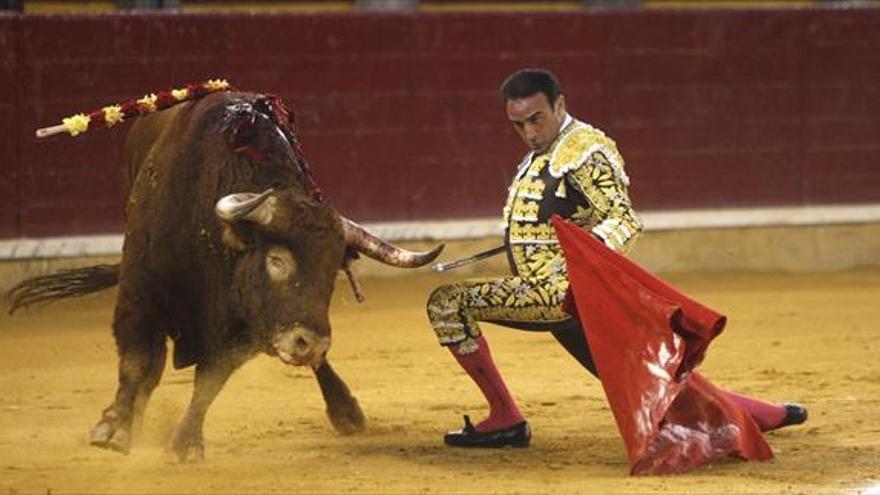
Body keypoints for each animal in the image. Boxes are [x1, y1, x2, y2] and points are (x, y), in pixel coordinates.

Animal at [8, 91, 440, 464]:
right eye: (276, 260)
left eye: (334, 268)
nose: (311, 343)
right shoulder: (140, 293)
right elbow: (137, 362)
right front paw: (114, 429)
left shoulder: (244, 329)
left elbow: (209, 381)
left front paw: (185, 443)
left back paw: (346, 411)